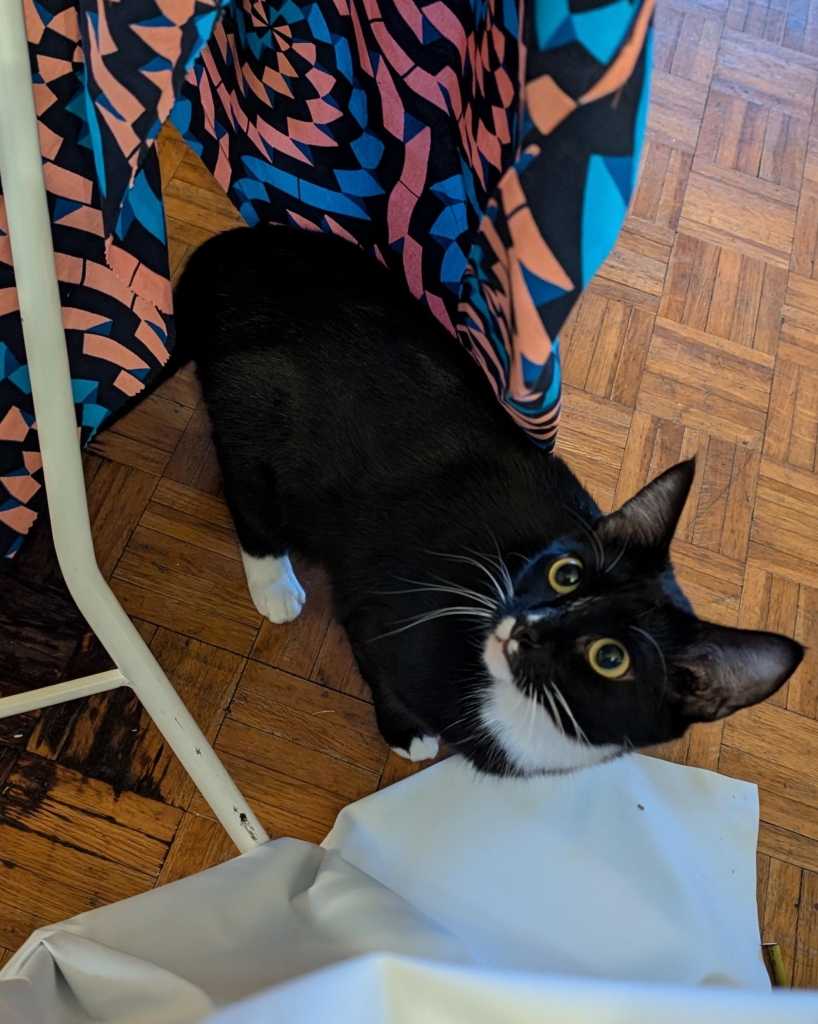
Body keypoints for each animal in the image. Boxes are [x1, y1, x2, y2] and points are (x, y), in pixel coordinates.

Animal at [174, 226, 806, 774]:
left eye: (610, 658)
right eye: (567, 573)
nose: (528, 628)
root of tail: (226, 251)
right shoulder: (378, 613)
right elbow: (380, 666)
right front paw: (405, 730)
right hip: (254, 416)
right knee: (247, 491)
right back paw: (273, 582)